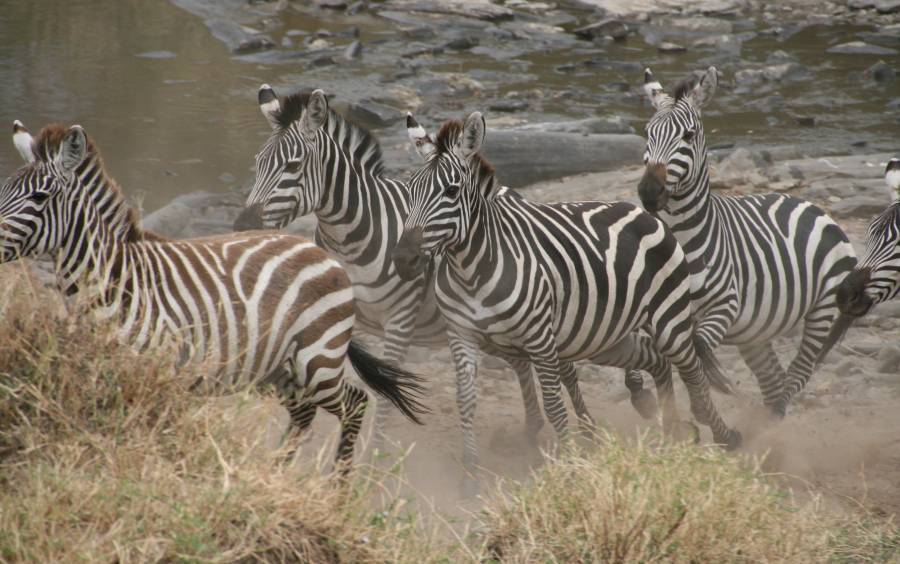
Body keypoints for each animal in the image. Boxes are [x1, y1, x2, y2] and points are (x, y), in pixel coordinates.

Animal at [0, 122, 428, 468]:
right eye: (3, 190)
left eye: (39, 198)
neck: (116, 279)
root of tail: (319, 251)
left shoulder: (160, 371)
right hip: (279, 369)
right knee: (303, 414)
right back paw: (273, 475)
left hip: (317, 359)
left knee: (354, 404)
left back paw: (335, 488)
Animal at [229, 87, 548, 446]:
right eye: (258, 162)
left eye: (293, 165)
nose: (243, 228)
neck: (350, 241)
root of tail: (508, 190)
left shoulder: (400, 320)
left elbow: (383, 397)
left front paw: (372, 454)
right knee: (520, 362)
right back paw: (530, 430)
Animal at [392, 111, 740, 480]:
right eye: (410, 191)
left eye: (451, 190)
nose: (403, 259)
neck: (471, 271)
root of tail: (641, 211)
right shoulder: (461, 335)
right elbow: (466, 400)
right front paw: (470, 471)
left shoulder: (540, 339)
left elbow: (554, 406)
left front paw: (570, 464)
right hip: (604, 337)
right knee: (656, 360)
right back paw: (672, 428)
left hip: (668, 316)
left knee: (692, 369)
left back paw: (724, 435)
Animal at [632, 67, 856, 418]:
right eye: (647, 132)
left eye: (688, 136)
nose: (649, 192)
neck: (682, 240)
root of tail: (811, 205)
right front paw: (642, 393)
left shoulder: (724, 306)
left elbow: (698, 348)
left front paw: (717, 383)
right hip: (756, 330)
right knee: (774, 378)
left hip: (824, 310)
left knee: (797, 374)